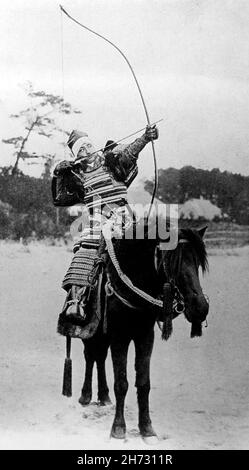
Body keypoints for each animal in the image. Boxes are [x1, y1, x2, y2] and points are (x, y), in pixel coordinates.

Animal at [77, 225, 209, 444]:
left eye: (198, 262)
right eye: (171, 262)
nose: (200, 308)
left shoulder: (145, 336)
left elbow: (144, 383)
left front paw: (147, 429)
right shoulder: (120, 337)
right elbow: (121, 383)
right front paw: (118, 429)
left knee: (100, 358)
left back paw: (103, 397)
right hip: (93, 330)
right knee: (90, 356)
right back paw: (86, 396)